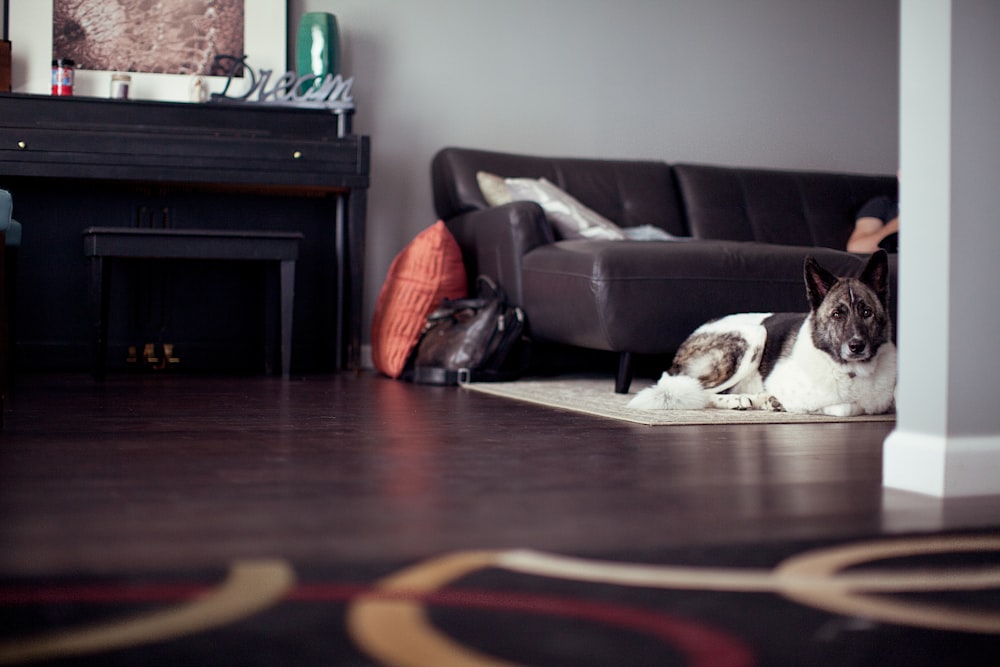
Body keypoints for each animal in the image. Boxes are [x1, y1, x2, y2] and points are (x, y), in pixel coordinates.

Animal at [628, 252, 896, 418]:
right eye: (837, 314)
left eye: (867, 312)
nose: (856, 346)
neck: (851, 372)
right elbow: (846, 407)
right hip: (753, 337)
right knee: (698, 392)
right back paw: (739, 401)